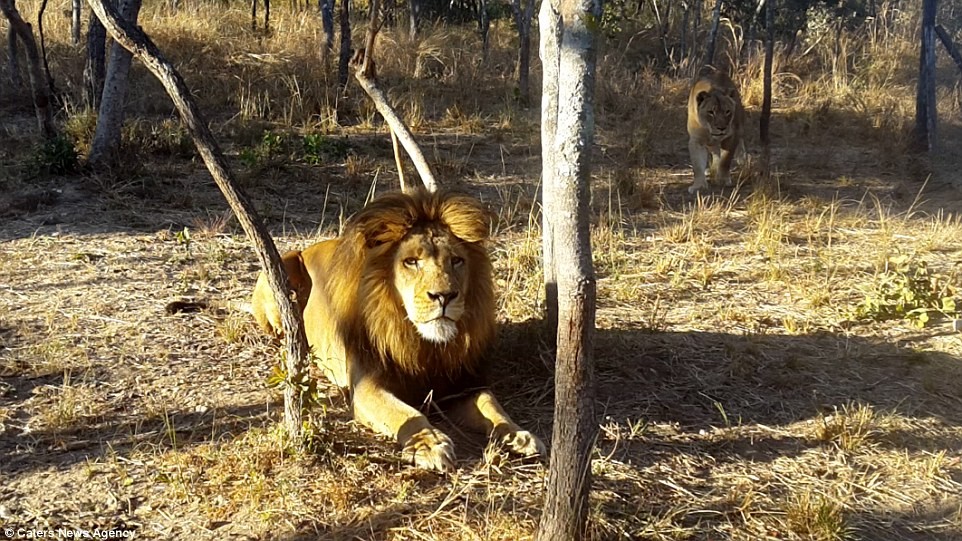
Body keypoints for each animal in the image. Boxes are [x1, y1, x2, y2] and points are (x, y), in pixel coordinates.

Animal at [251, 188, 544, 470]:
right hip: (281, 273)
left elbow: (492, 405)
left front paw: (518, 436)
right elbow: (408, 414)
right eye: (411, 261)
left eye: (456, 261)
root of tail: (307, 248)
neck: (425, 345)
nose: (444, 296)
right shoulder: (366, 386)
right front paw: (429, 444)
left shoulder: (464, 384)